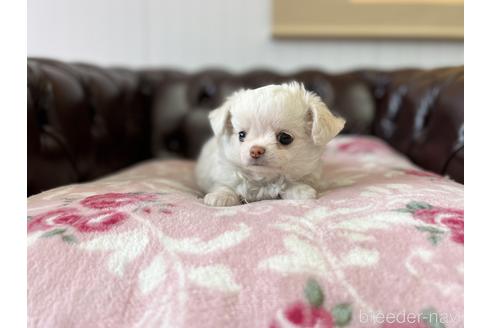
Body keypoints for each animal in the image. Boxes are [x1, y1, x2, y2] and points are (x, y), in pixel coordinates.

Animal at [194, 81, 344, 205]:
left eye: (285, 138)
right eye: (241, 135)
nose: (255, 150)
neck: (263, 180)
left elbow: (290, 184)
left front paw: (301, 191)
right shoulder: (224, 172)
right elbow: (224, 185)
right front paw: (220, 196)